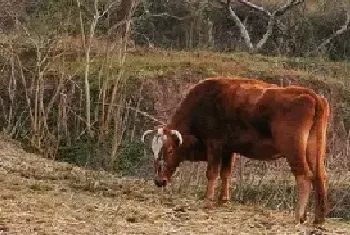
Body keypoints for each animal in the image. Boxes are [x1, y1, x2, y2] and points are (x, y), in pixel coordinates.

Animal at [141, 77, 330, 224]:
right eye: (153, 151)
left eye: (169, 150)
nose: (159, 181)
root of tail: (312, 96)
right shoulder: (228, 150)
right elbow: (226, 173)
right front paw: (223, 199)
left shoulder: (214, 145)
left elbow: (212, 173)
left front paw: (208, 199)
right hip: (314, 151)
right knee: (320, 176)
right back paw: (318, 218)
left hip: (293, 150)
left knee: (304, 177)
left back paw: (299, 216)